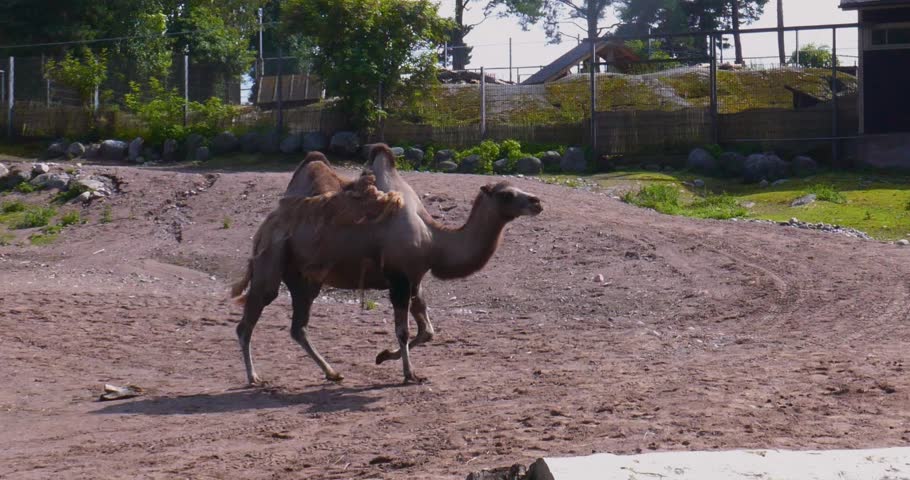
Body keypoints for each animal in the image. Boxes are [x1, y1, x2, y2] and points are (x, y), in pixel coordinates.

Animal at [231, 146, 543, 384]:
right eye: (506, 194)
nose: (537, 202)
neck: (433, 239)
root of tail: (267, 223)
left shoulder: (415, 278)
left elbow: (427, 331)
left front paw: (383, 357)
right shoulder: (399, 278)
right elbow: (404, 331)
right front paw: (409, 374)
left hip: (304, 277)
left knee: (298, 327)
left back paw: (332, 373)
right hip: (272, 258)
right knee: (249, 319)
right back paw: (254, 377)